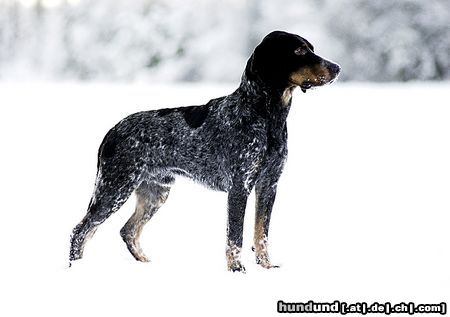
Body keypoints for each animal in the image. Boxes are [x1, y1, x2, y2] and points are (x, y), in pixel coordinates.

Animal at [68, 30, 340, 272]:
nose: (337, 68)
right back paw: (75, 268)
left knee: (128, 231)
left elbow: (261, 233)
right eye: (299, 51)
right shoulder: (240, 186)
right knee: (80, 231)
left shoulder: (269, 185)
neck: (266, 116)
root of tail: (111, 132)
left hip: (155, 192)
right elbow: (235, 237)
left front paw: (266, 267)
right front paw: (237, 269)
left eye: (311, 48)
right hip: (114, 188)